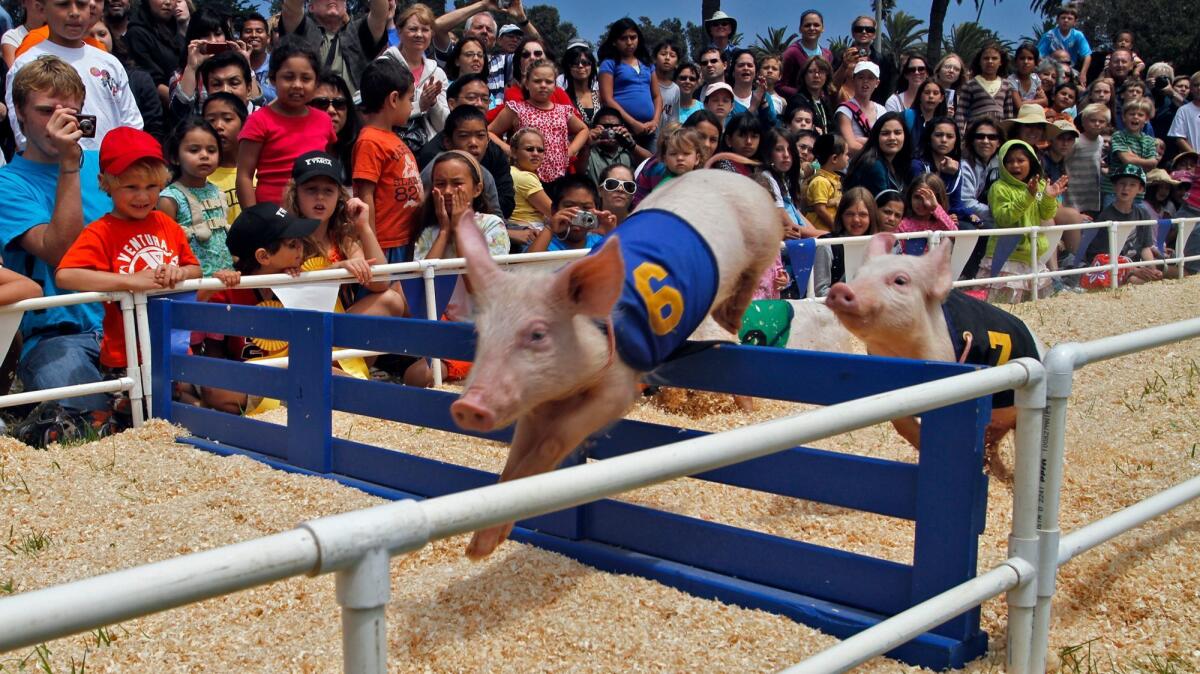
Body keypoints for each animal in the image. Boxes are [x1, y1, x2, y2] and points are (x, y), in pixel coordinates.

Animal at [448, 169, 777, 556]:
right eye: (480, 333)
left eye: (538, 334)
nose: (467, 406)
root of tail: (728, 174)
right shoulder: (536, 401)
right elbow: (514, 460)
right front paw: (479, 549)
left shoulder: (619, 386)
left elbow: (555, 439)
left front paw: (481, 549)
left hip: (764, 234)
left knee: (752, 277)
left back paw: (731, 320)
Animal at [825, 230, 1041, 477]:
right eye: (857, 276)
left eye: (900, 280)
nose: (840, 289)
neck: (902, 352)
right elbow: (900, 422)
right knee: (992, 442)